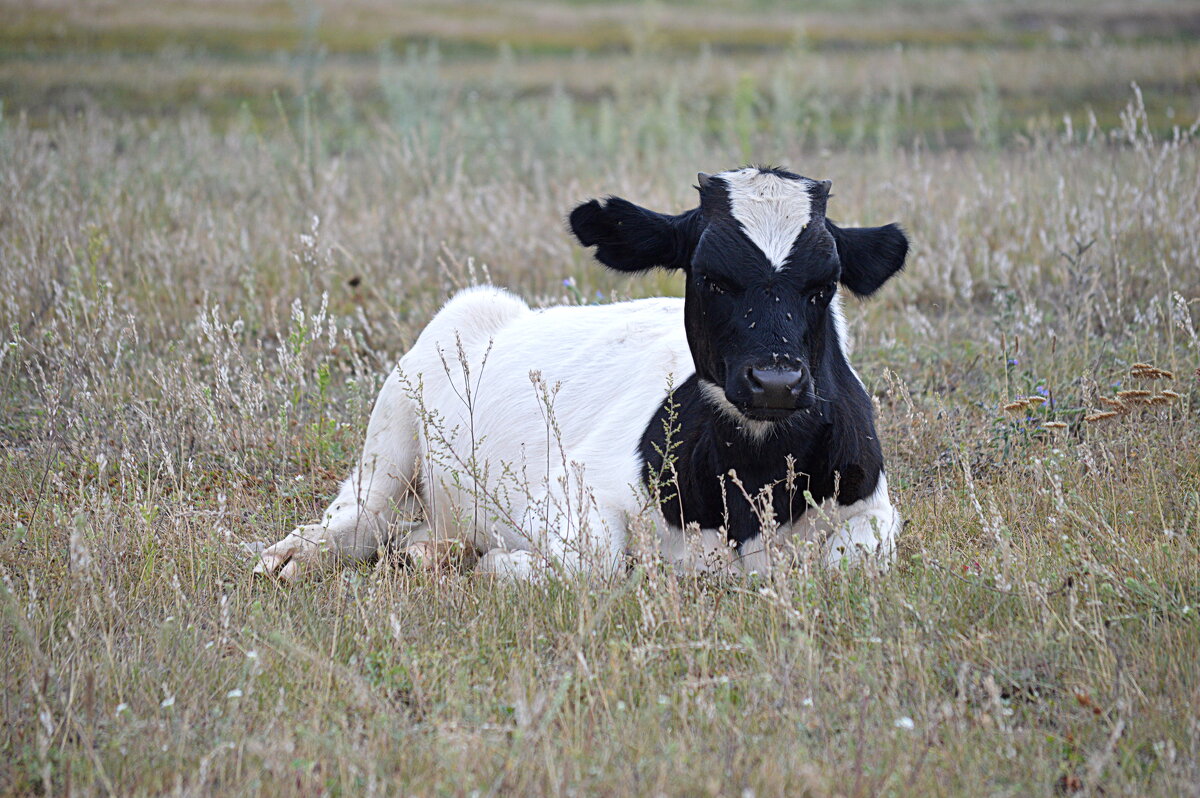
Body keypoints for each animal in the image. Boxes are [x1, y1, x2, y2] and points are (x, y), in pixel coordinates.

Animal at [255, 166, 907, 578]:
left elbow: (850, 560)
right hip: (391, 438)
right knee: (358, 515)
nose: (776, 382)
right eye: (709, 277)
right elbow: (593, 563)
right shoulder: (571, 490)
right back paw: (293, 557)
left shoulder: (873, 509)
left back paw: (432, 552)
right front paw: (500, 565)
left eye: (825, 284)